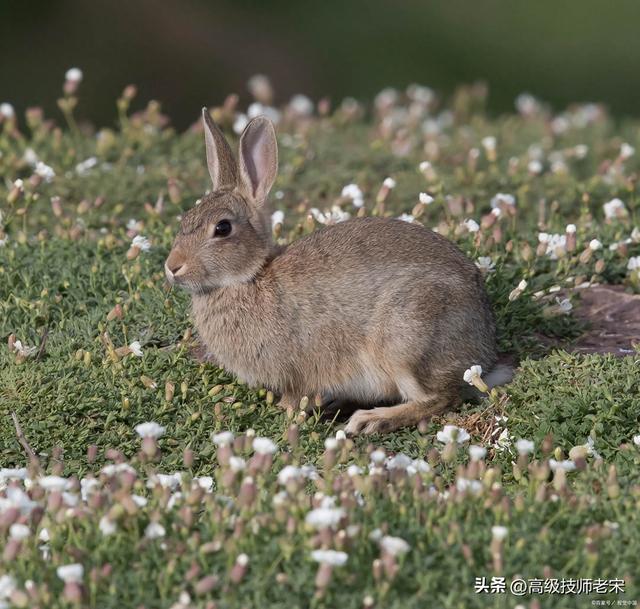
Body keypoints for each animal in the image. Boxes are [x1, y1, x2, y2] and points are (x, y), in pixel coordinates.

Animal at [166, 108, 516, 432]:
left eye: (222, 228)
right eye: (186, 218)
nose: (172, 267)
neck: (250, 277)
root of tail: (483, 347)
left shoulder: (301, 370)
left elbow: (295, 397)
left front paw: (286, 411)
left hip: (406, 341)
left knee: (439, 398)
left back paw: (370, 420)